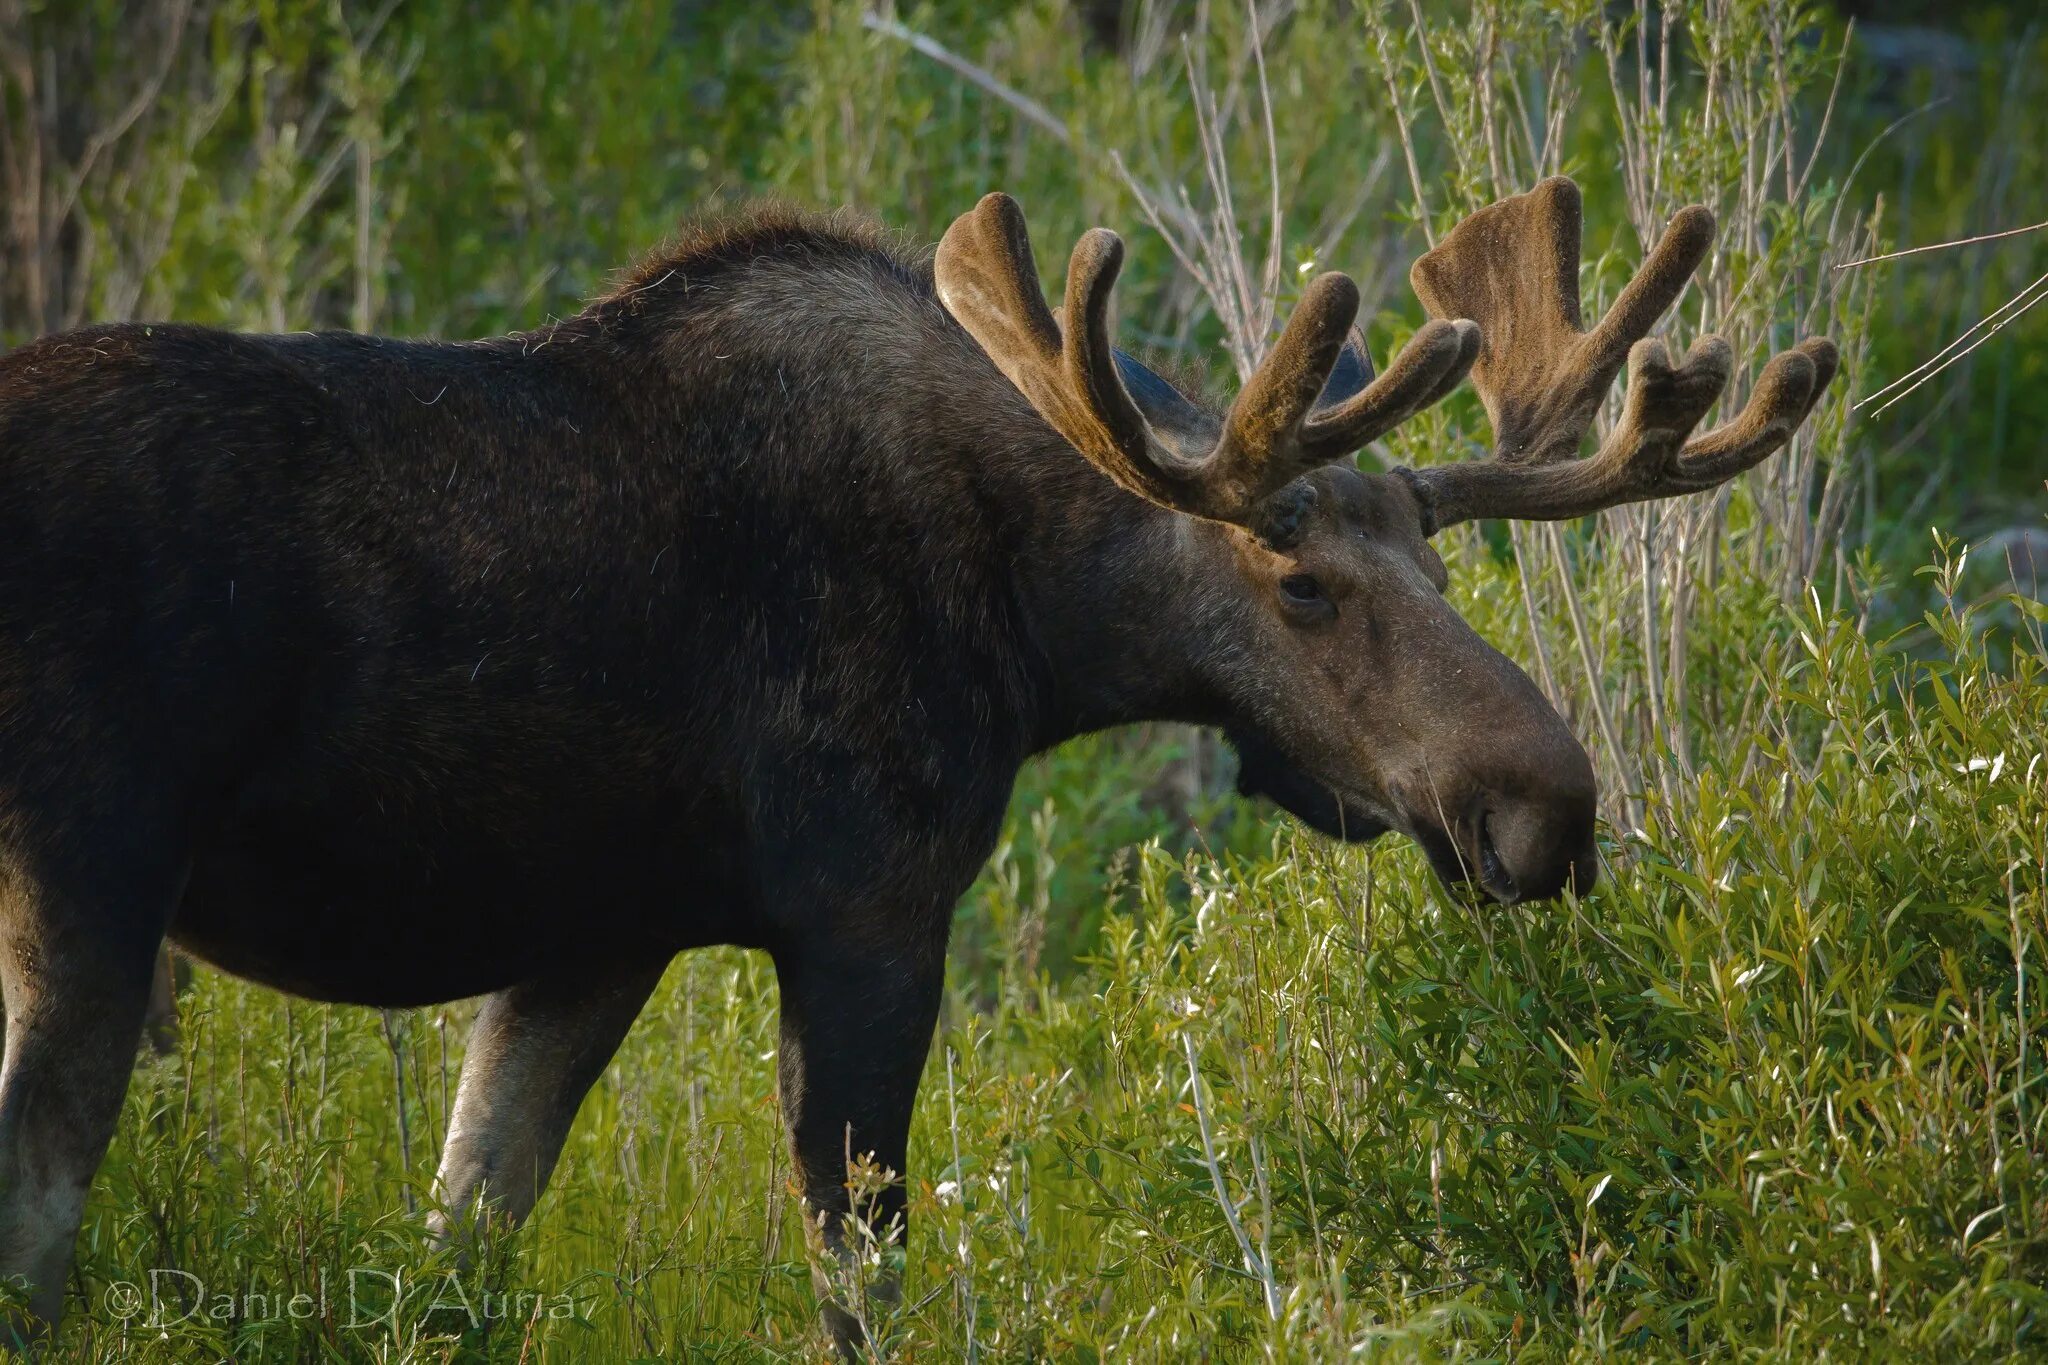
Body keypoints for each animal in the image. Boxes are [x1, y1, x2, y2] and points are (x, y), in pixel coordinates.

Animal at [0, 179, 1835, 1342]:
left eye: (1443, 572)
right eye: (1299, 583)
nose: (1548, 809)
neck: (1033, 630)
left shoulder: (593, 939)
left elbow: (463, 1247)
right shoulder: (867, 912)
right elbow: (859, 1279)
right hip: (85, 868)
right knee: (41, 1210)